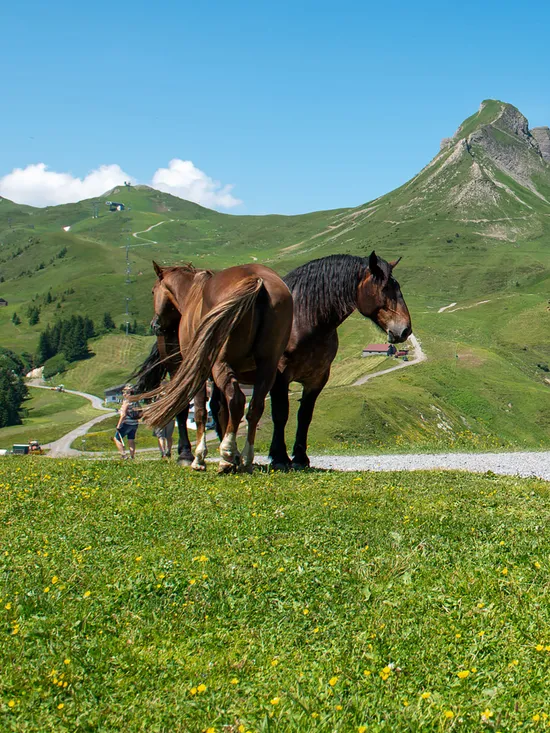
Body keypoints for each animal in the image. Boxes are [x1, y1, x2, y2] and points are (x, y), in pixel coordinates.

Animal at [137, 260, 294, 472]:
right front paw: (235, 456)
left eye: (153, 291)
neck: (193, 294)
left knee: (237, 400)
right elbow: (221, 410)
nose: (155, 324)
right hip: (266, 366)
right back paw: (245, 459)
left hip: (221, 363)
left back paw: (225, 456)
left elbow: (201, 411)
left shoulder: (200, 369)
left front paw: (200, 458)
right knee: (254, 407)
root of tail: (257, 280)